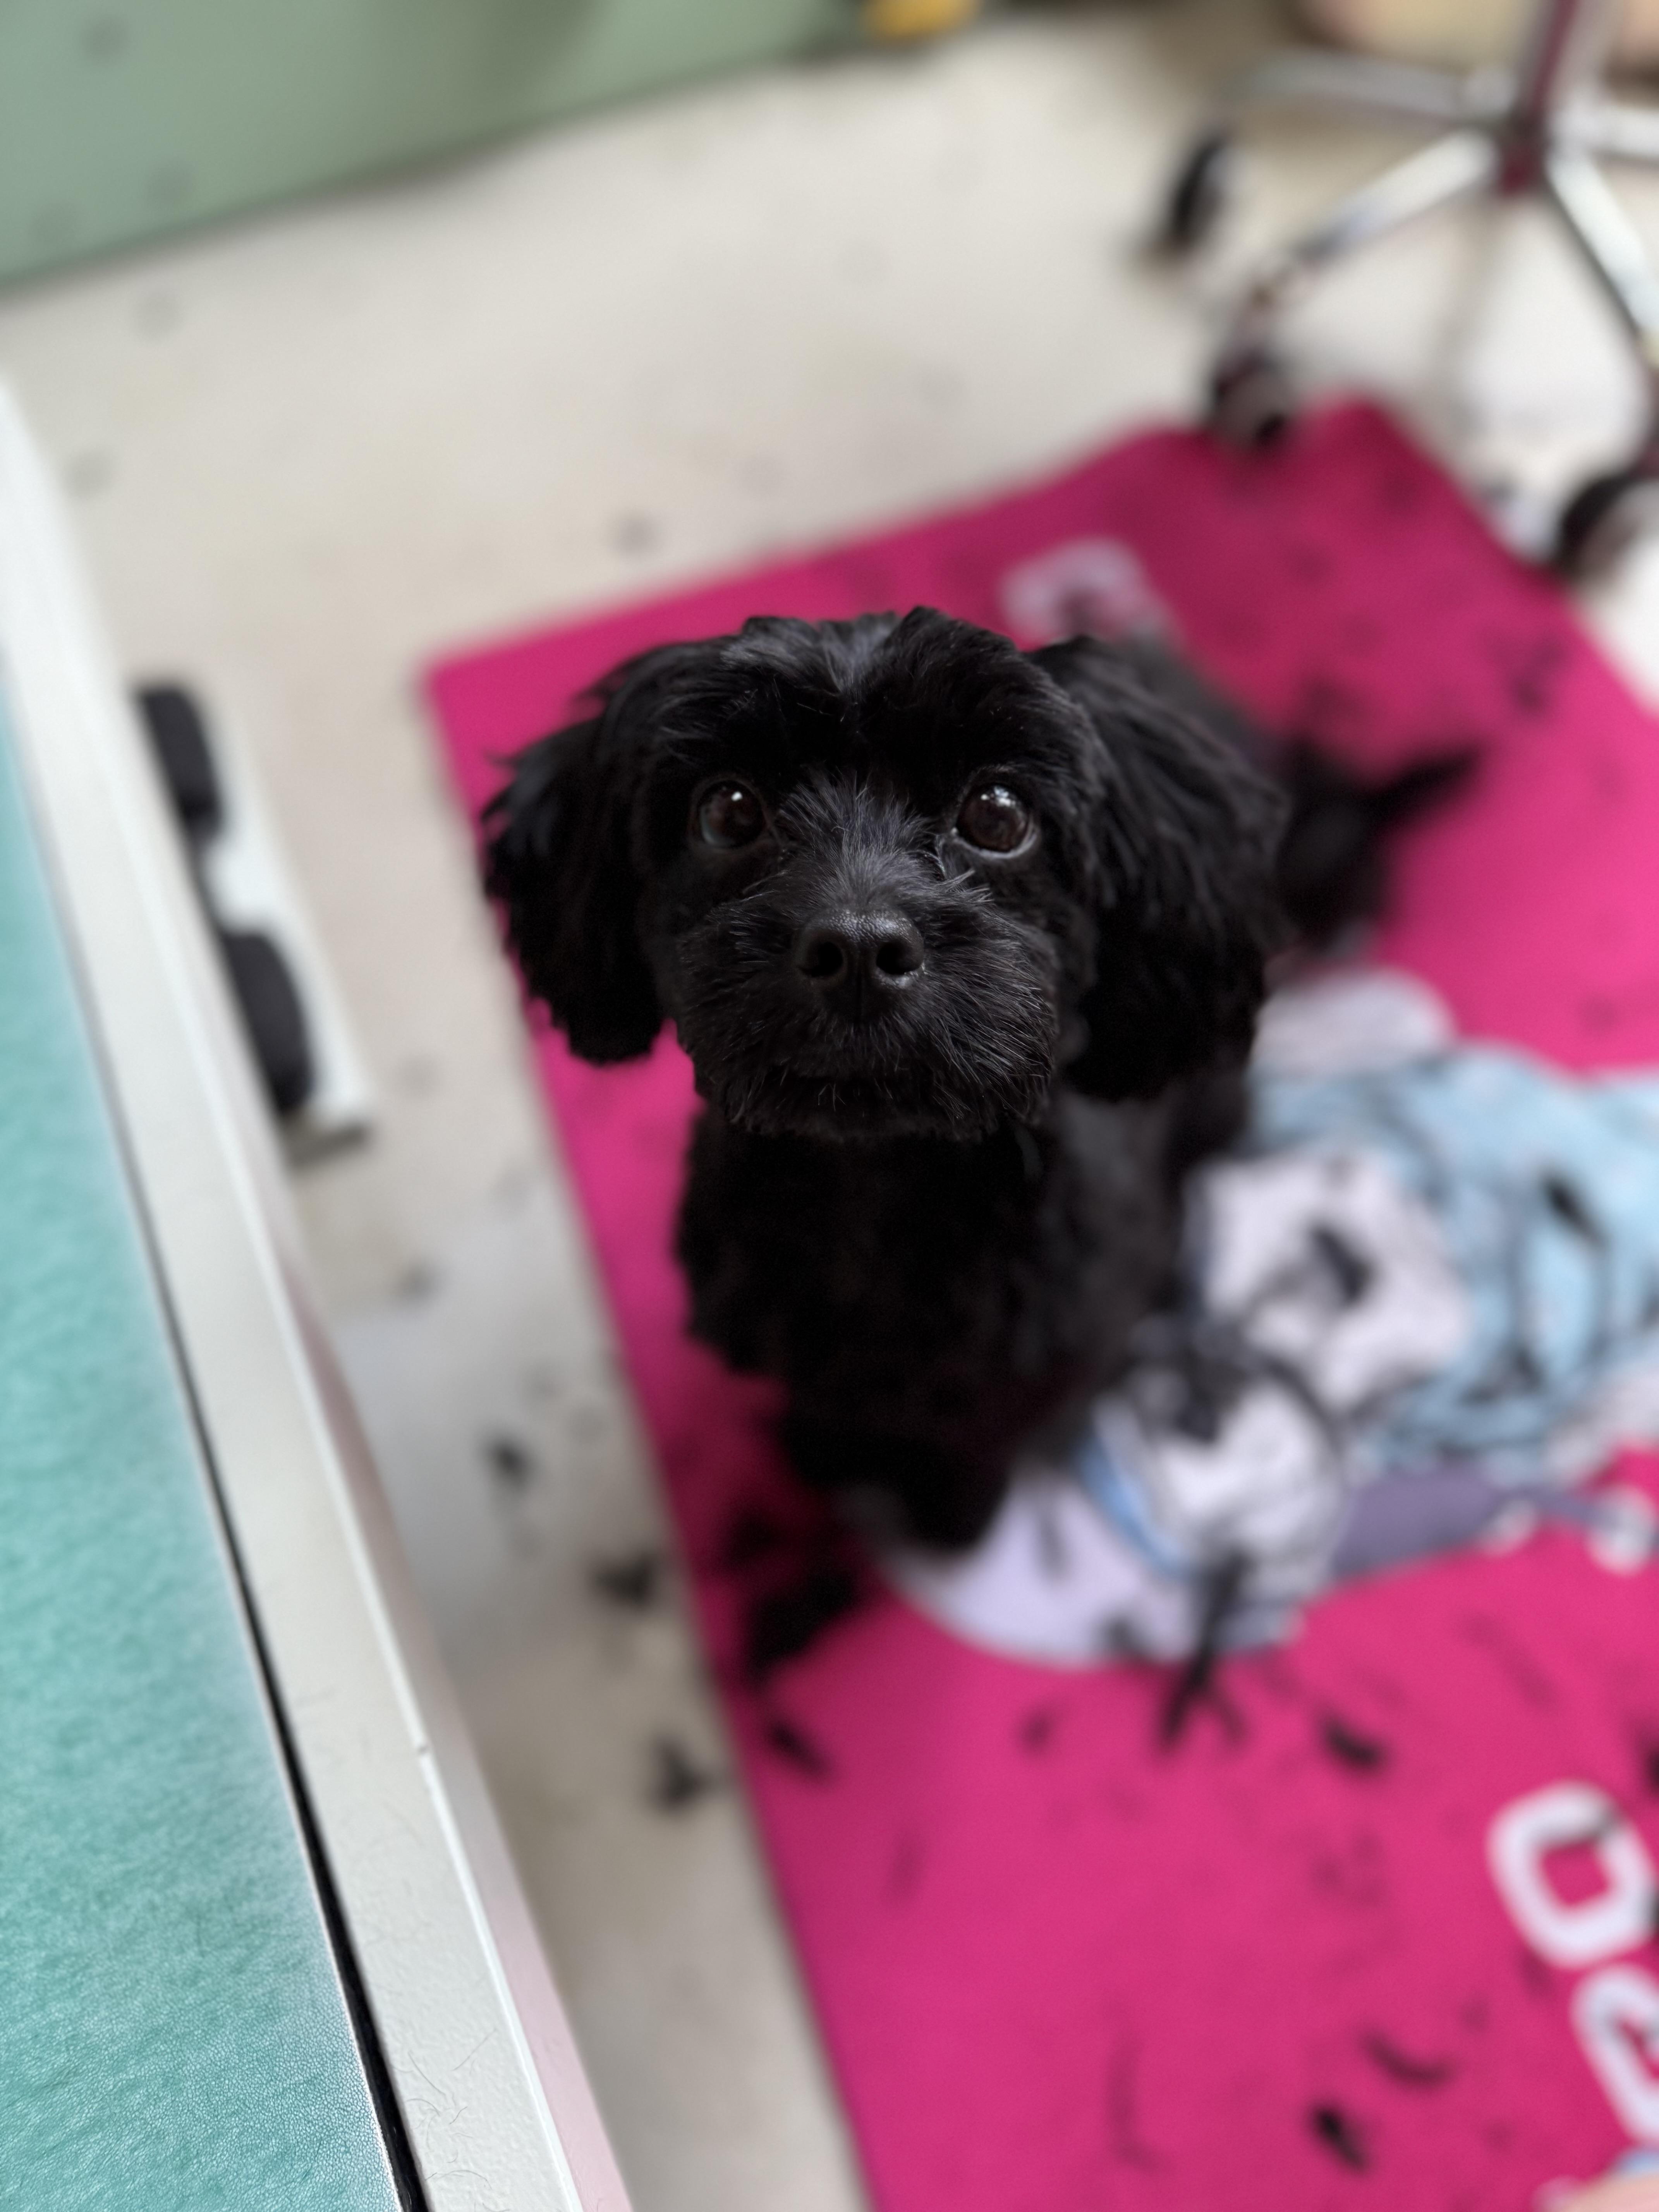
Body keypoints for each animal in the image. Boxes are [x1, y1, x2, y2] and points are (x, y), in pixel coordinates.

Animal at [484, 608, 1455, 1549]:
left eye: (996, 813)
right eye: (726, 810)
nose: (859, 948)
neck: (875, 1197)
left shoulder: (1031, 1371)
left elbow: (978, 1447)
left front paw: (952, 1523)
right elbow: (823, 1406)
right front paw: (821, 1457)